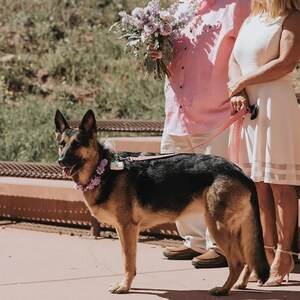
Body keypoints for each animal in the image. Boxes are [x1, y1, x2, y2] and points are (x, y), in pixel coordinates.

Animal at [54, 109, 270, 296]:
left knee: (237, 261)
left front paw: (125, 287)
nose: (61, 161)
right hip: (236, 230)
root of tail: (240, 172)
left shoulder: (127, 229)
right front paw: (126, 284)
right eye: (62, 143)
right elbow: (128, 261)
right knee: (248, 259)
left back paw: (223, 289)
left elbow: (128, 262)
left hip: (217, 227)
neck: (104, 169)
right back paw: (241, 284)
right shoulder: (124, 231)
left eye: (77, 143)